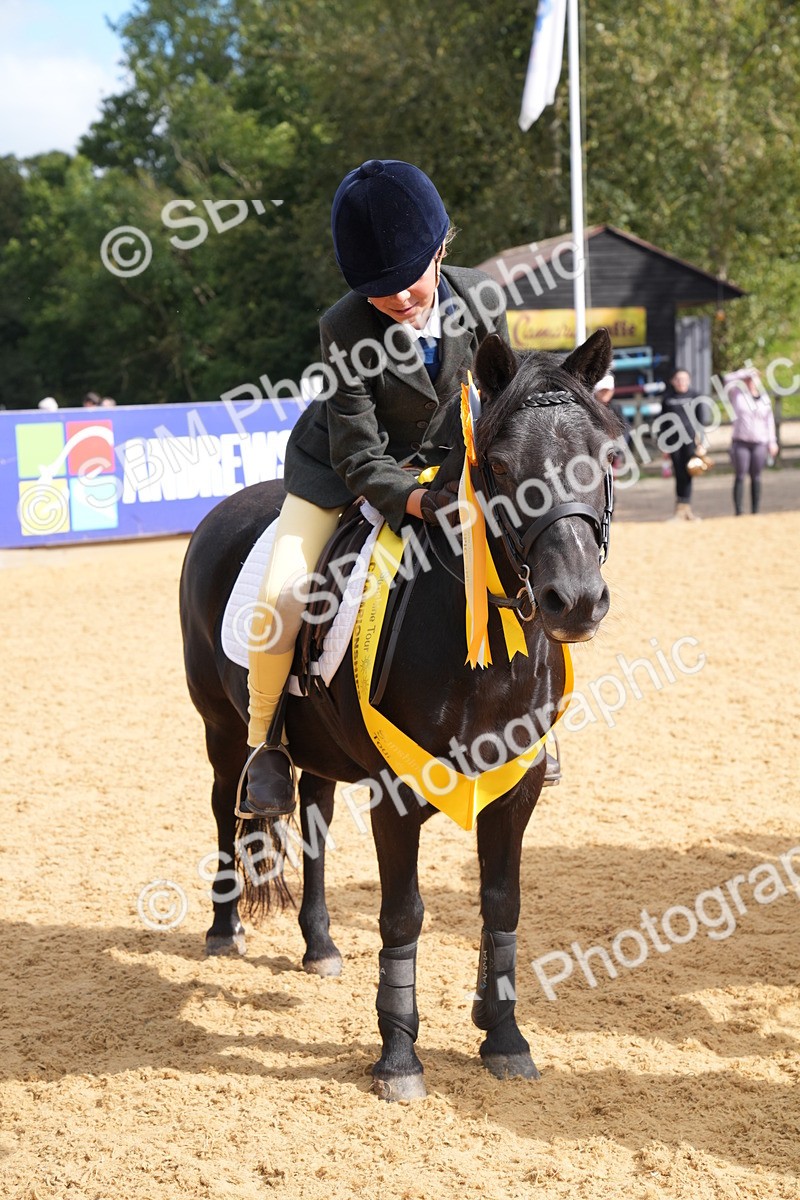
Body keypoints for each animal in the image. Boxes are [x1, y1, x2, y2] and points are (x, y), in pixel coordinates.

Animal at [179, 329, 622, 1100]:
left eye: (601, 455)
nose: (575, 600)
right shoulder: (396, 790)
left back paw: (320, 944)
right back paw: (223, 929)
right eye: (498, 464)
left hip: (317, 750)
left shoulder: (517, 788)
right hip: (222, 730)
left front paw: (503, 1035)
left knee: (314, 823)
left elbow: (502, 904)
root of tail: (220, 514)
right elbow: (403, 913)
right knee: (227, 811)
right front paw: (399, 1056)